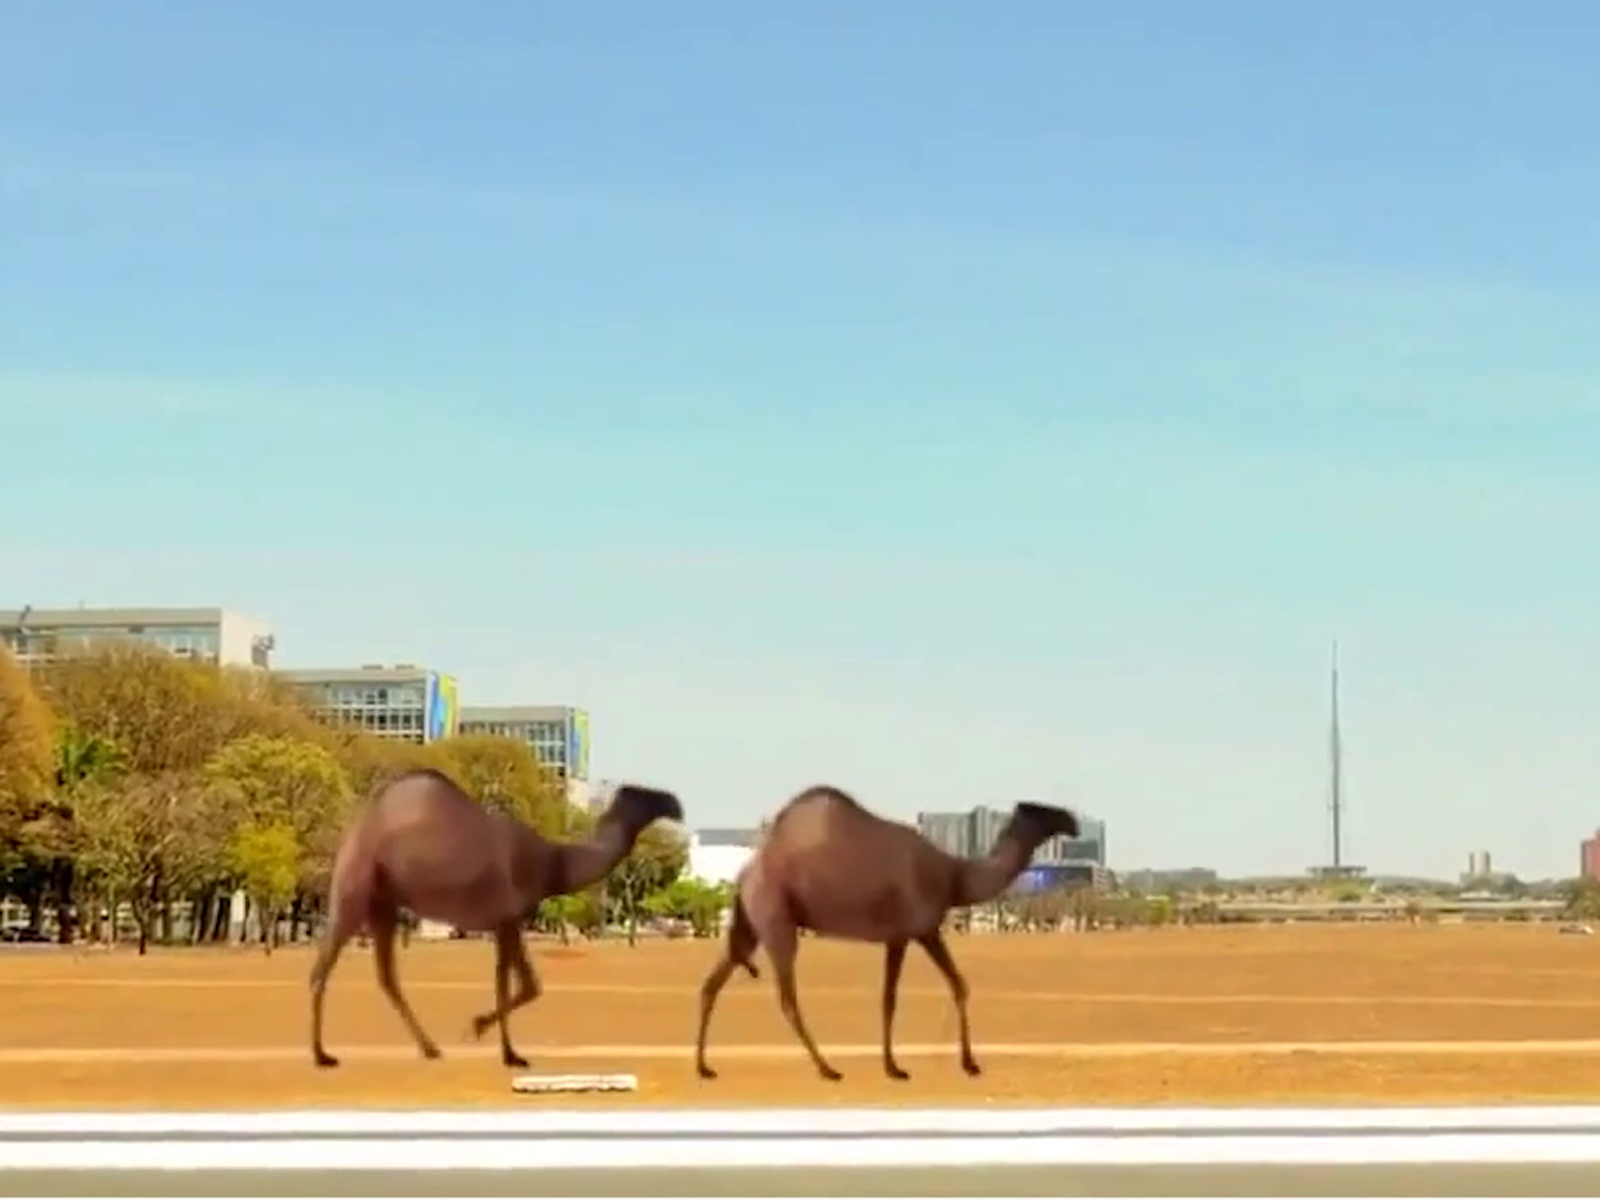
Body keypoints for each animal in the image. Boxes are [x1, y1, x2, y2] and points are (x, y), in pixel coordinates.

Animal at [308, 771, 684, 1068]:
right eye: (642, 794)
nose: (675, 804)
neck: (552, 864)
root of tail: (360, 821)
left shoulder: (505, 921)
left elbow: (511, 984)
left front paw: (502, 1047)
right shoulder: (508, 917)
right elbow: (525, 985)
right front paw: (495, 1041)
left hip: (383, 902)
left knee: (386, 976)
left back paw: (430, 1049)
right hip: (356, 883)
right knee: (322, 969)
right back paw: (322, 1056)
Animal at [694, 784, 1081, 1088]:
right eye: (1045, 810)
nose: (1074, 820)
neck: (954, 876)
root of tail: (746, 872)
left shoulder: (906, 935)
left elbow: (914, 994)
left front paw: (927, 1065)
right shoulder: (918, 931)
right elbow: (926, 992)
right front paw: (922, 1067)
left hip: (750, 924)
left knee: (712, 984)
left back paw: (704, 1068)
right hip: (776, 917)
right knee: (787, 997)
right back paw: (828, 1069)